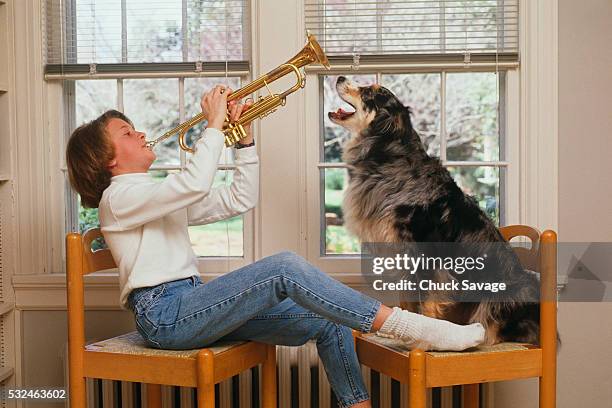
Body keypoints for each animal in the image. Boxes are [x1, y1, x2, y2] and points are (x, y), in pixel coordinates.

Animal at [330, 75, 544, 344]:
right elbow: (409, 303)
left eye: (368, 91)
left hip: (503, 295)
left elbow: (426, 304)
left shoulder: (426, 258)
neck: (389, 158)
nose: (339, 77)